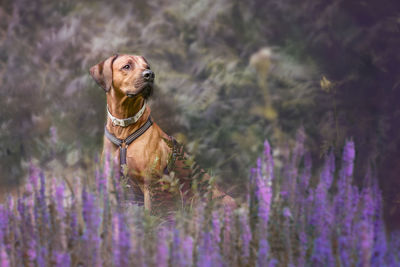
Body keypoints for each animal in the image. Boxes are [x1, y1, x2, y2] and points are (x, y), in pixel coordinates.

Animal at [90, 53, 234, 210]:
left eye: (147, 67)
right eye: (126, 66)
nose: (150, 74)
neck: (124, 129)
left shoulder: (152, 185)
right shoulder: (112, 184)